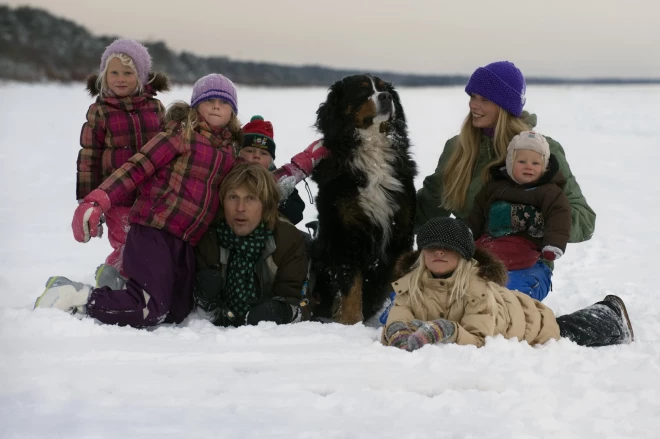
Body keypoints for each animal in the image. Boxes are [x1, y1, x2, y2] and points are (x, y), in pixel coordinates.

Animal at [310, 74, 418, 324]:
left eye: (384, 88)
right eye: (361, 90)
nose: (386, 97)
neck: (373, 152)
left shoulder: (401, 230)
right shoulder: (345, 233)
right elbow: (350, 287)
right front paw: (350, 323)